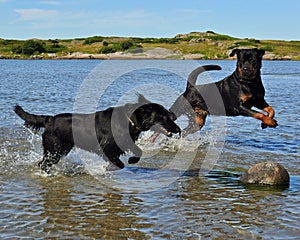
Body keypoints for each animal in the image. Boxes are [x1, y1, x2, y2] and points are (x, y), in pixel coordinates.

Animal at [14, 94, 180, 172]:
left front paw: (130, 161)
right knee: (43, 163)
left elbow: (138, 152)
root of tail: (49, 119)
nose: (178, 129)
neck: (130, 120)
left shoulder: (125, 144)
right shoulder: (107, 147)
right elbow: (119, 163)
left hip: (61, 149)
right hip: (55, 149)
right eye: (163, 116)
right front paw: (110, 168)